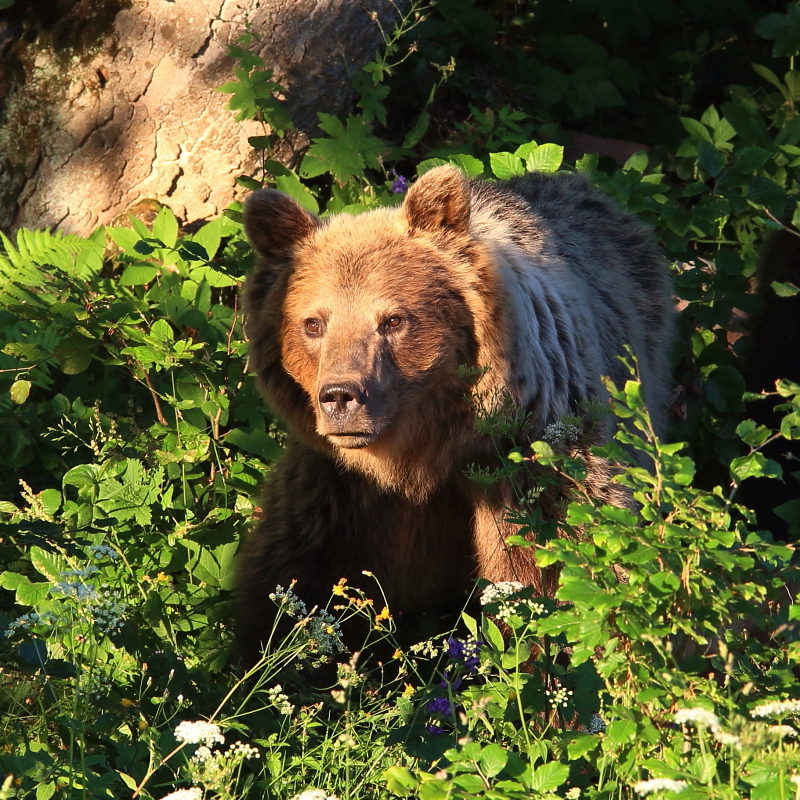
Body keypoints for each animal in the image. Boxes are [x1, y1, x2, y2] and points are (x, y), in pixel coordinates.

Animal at [234, 164, 672, 664]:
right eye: (313, 323)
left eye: (393, 320)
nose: (341, 396)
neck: (422, 454)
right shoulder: (339, 489)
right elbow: (295, 576)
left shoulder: (525, 460)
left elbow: (559, 568)